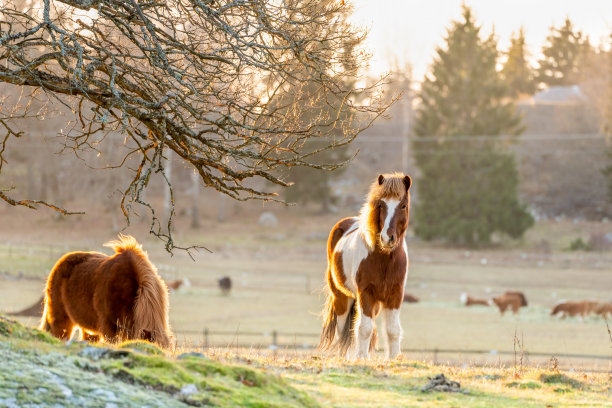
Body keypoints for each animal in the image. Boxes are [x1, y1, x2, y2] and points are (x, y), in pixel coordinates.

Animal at [320, 172, 412, 360]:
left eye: (403, 205)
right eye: (381, 205)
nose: (387, 238)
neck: (385, 260)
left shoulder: (395, 295)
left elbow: (393, 330)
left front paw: (393, 358)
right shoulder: (365, 293)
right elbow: (364, 328)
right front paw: (361, 357)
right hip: (341, 296)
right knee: (343, 329)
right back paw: (344, 357)